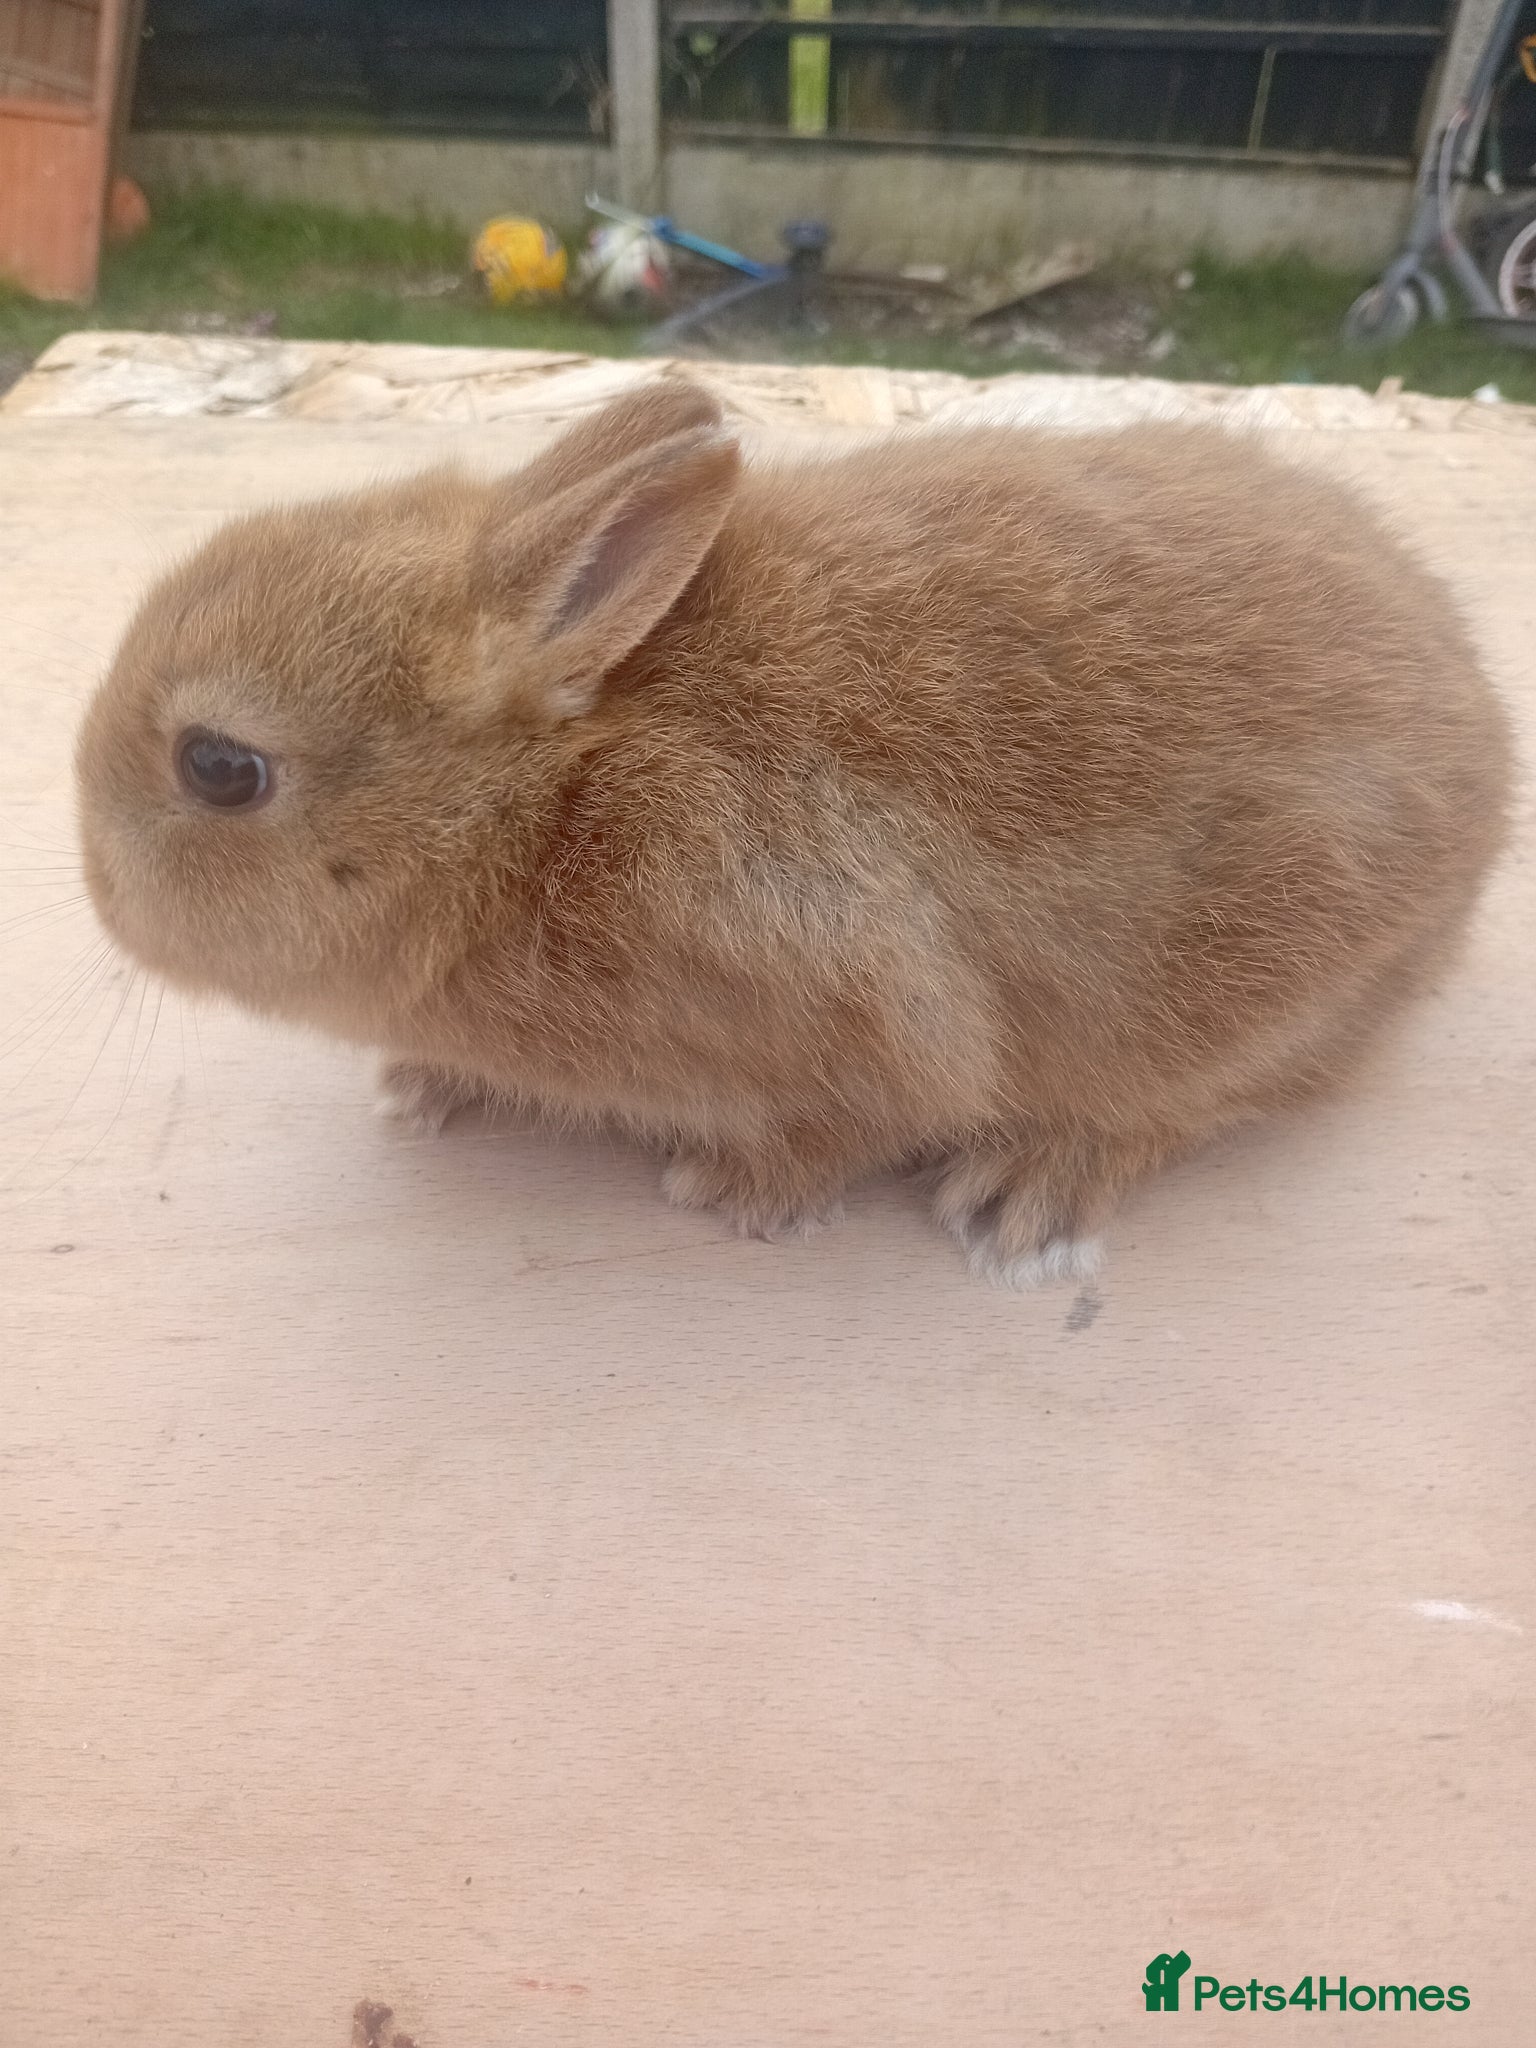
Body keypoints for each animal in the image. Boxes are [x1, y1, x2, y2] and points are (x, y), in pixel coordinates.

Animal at [75, 376, 1512, 1285]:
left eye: (219, 768)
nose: (94, 884)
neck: (541, 802)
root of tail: (1488, 747)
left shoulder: (856, 1001)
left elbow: (864, 1117)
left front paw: (733, 1196)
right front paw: (423, 1085)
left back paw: (1025, 1191)